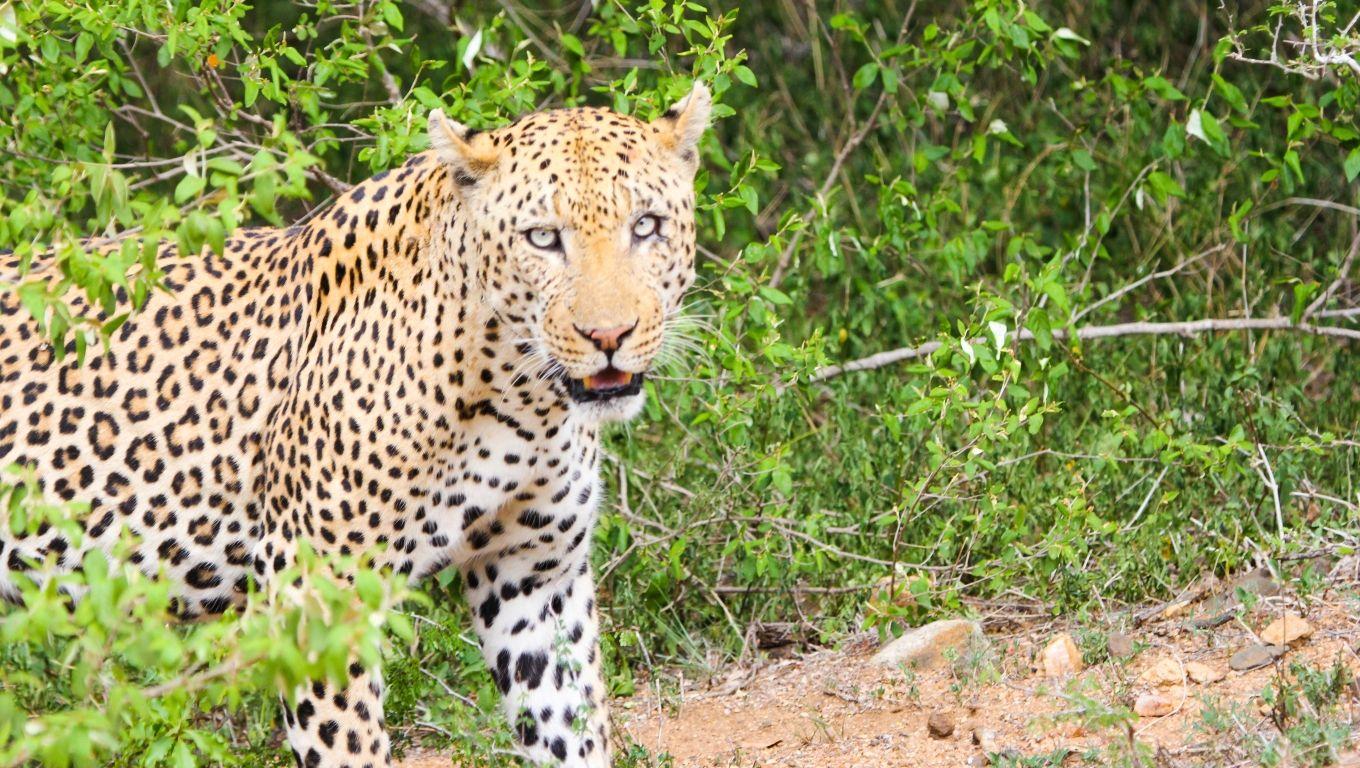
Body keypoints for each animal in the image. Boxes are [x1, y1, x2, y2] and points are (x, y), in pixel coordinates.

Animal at [0, 82, 712, 768]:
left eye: (646, 226)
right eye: (542, 238)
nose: (609, 337)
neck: (521, 400)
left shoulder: (537, 581)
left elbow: (573, 731)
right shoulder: (319, 596)